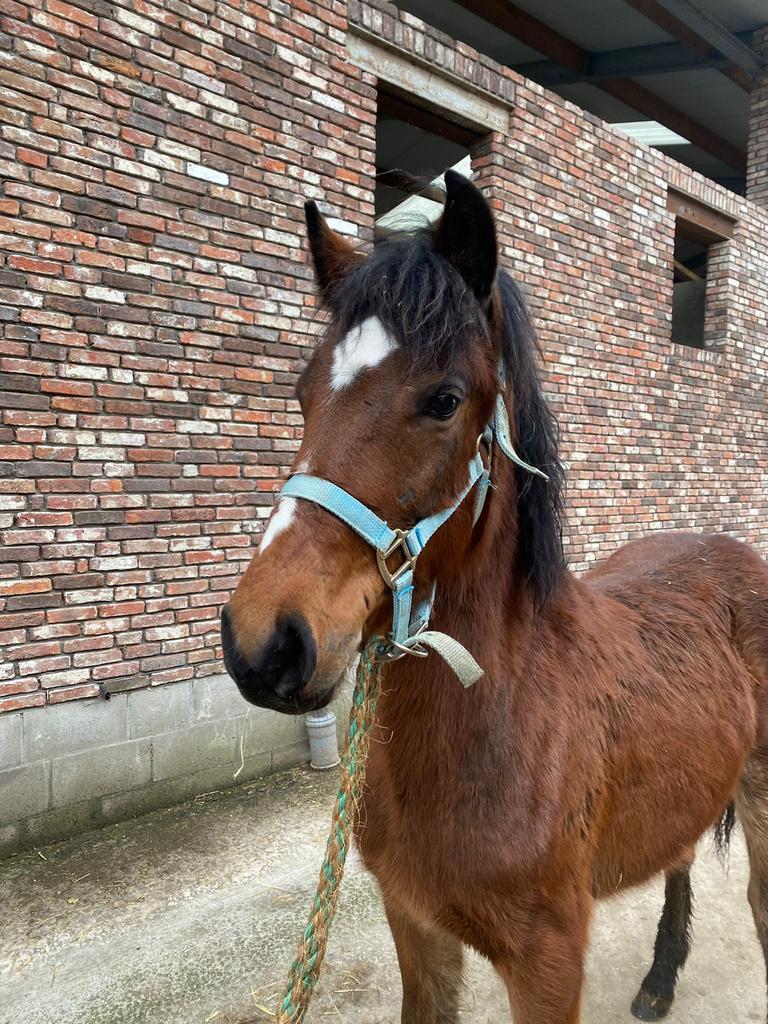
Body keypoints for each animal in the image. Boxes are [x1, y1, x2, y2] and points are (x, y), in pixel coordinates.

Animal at [221, 170, 768, 1023]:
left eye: (445, 400)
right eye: (303, 394)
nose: (264, 643)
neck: (509, 714)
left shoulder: (548, 963)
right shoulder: (415, 928)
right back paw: (659, 977)